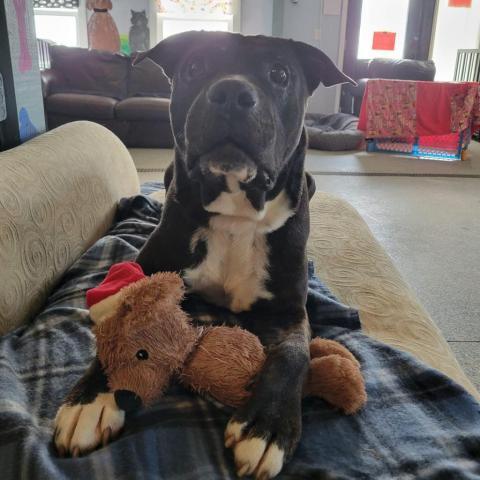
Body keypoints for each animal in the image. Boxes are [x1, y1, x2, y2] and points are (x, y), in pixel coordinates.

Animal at [53, 31, 352, 478]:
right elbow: (122, 321)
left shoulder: (289, 312)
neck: (236, 214)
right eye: (195, 67)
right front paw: (90, 399)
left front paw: (268, 426)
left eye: (280, 74)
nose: (231, 93)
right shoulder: (148, 273)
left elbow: (293, 355)